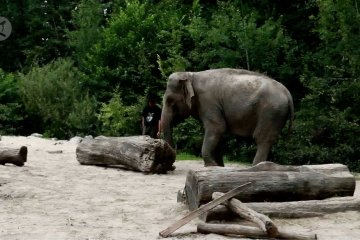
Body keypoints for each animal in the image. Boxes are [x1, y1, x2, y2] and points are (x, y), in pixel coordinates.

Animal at [160, 67, 292, 166]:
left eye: (170, 101)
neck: (191, 75)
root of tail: (287, 92)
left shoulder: (208, 101)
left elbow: (217, 127)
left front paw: (211, 165)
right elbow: (219, 133)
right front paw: (218, 167)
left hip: (271, 112)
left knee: (262, 138)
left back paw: (255, 167)